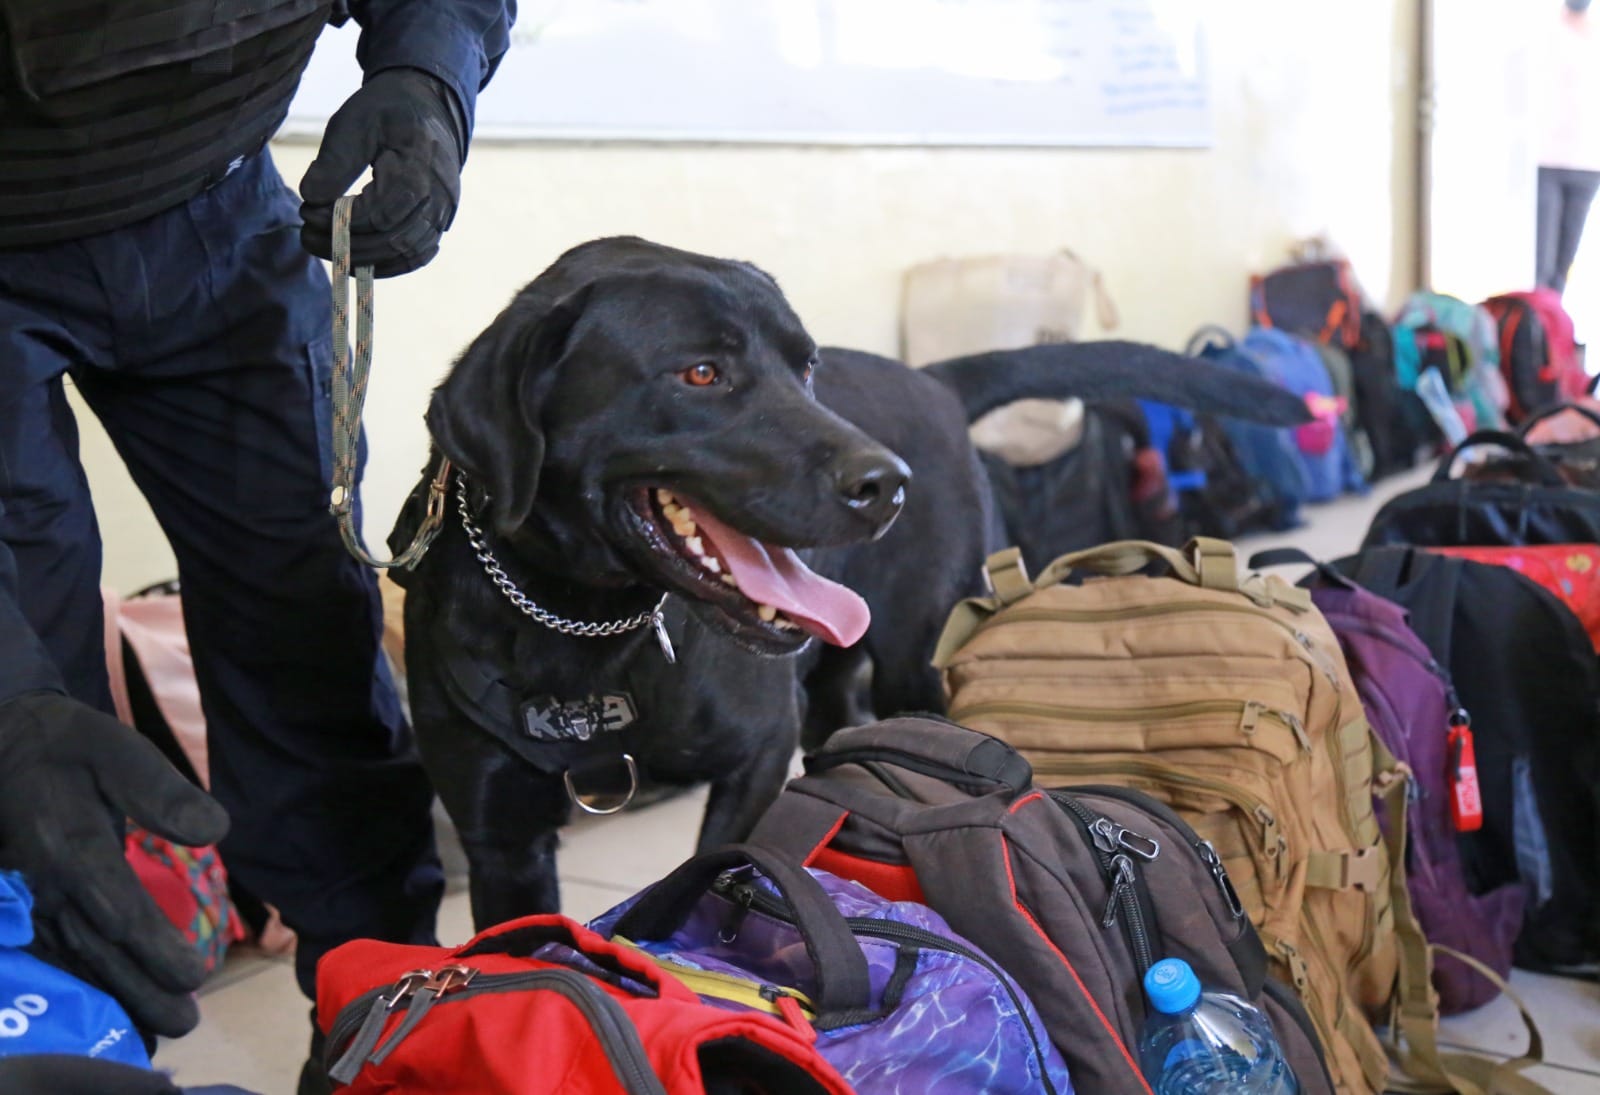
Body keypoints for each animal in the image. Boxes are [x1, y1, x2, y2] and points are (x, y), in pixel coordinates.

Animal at [393, 236, 1305, 922]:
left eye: (806, 368)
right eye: (701, 373)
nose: (888, 484)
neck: (584, 627)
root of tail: (934, 379)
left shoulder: (756, 756)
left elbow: (702, 869)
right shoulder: (501, 841)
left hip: (915, 659)